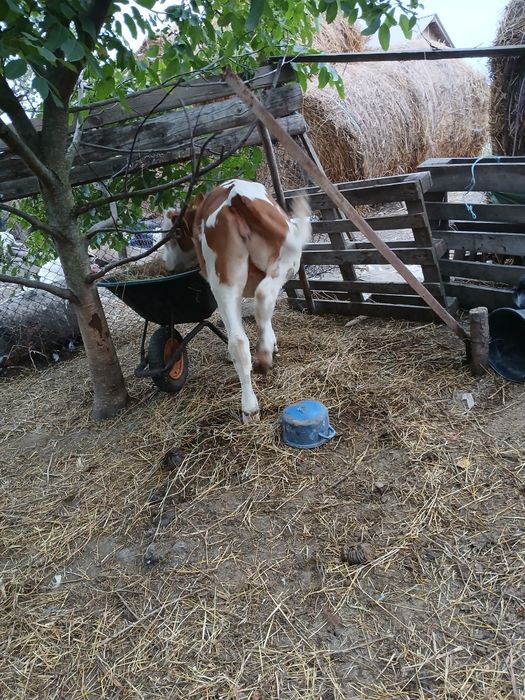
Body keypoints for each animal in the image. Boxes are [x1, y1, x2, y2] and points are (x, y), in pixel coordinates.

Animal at [161, 179, 311, 423]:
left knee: (240, 339)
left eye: (173, 237)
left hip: (229, 283)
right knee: (261, 301)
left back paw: (250, 403)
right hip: (280, 266)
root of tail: (235, 197)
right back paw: (261, 366)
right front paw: (273, 344)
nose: (166, 265)